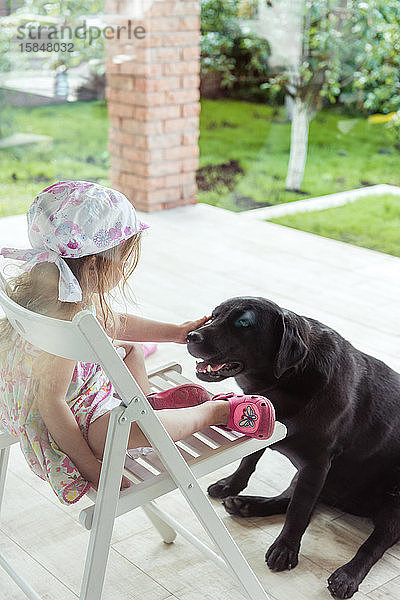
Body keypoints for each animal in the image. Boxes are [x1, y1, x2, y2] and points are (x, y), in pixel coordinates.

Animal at [188, 298, 400, 596]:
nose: (191, 336)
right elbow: (248, 462)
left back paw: (347, 576)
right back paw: (245, 504)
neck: (286, 379)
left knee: (373, 544)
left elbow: (298, 511)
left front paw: (286, 550)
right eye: (213, 315)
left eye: (243, 323)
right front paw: (231, 485)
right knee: (291, 499)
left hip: (394, 501)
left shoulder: (317, 463)